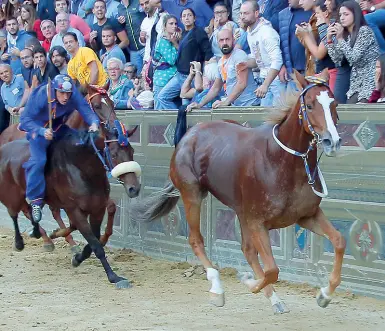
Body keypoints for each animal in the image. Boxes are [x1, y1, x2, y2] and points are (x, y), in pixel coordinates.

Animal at [0, 85, 141, 288]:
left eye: (132, 151)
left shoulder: (97, 207)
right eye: (113, 154)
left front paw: (78, 257)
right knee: (15, 212)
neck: (81, 167)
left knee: (32, 211)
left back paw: (44, 234)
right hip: (11, 195)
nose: (134, 188)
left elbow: (94, 240)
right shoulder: (74, 209)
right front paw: (114, 276)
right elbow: (95, 244)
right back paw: (22, 242)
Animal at [133, 70, 344, 314]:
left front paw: (325, 295)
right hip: (193, 195)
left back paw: (273, 298)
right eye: (309, 105)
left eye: (334, 103)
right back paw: (217, 288)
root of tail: (189, 135)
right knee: (196, 240)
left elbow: (338, 241)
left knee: (247, 250)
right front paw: (249, 281)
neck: (280, 162)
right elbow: (272, 269)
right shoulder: (258, 222)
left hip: (240, 211)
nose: (332, 141)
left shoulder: (306, 216)